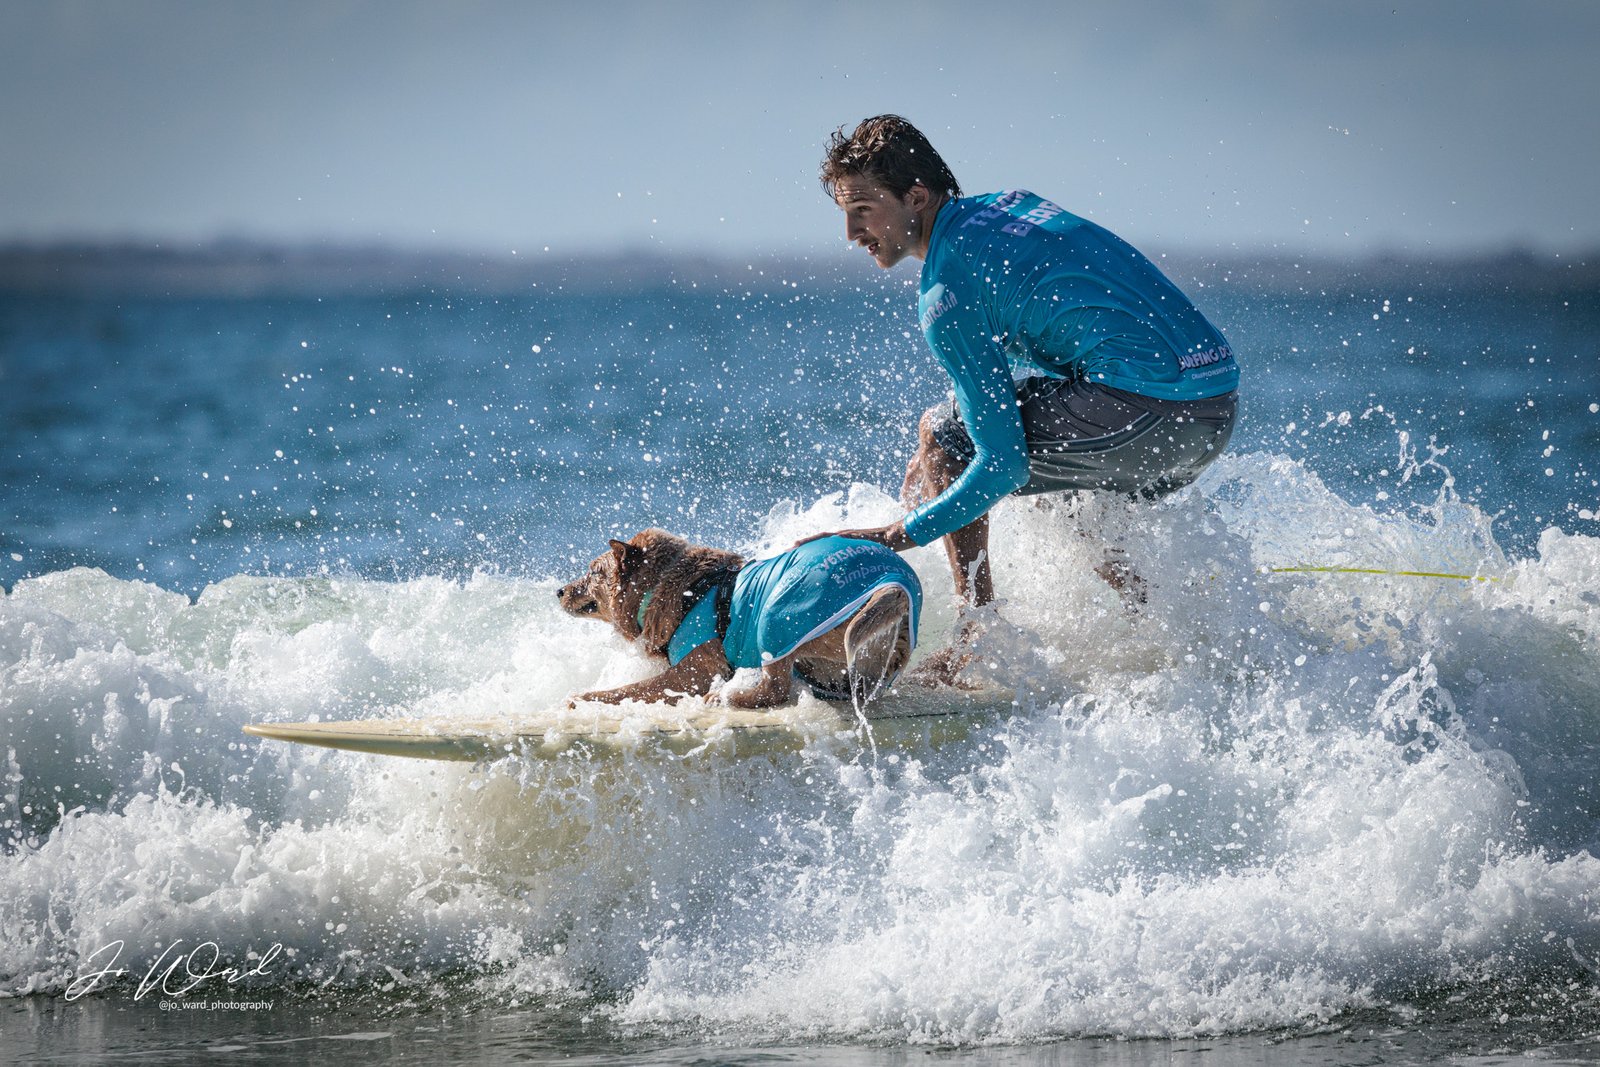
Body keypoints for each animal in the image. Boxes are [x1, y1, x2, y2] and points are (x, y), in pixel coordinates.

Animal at [557, 528, 921, 708]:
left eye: (593, 572)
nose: (559, 591)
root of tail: (894, 583)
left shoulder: (692, 675)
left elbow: (628, 689)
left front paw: (582, 697)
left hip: (779, 613)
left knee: (775, 690)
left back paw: (726, 696)